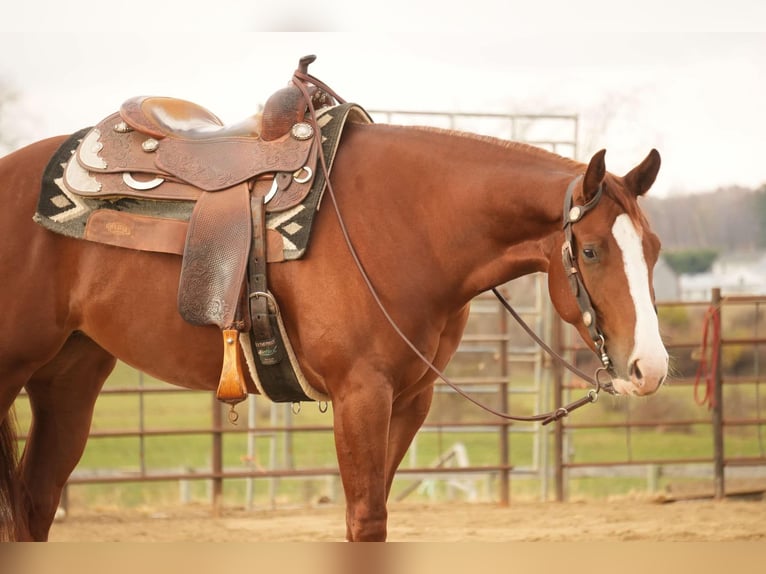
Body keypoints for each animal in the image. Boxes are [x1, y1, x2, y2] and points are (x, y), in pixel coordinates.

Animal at [0, 102, 668, 540]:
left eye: (655, 248)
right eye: (590, 251)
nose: (651, 369)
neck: (410, 223)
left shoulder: (409, 400)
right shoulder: (360, 395)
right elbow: (365, 520)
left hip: (70, 376)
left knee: (35, 502)